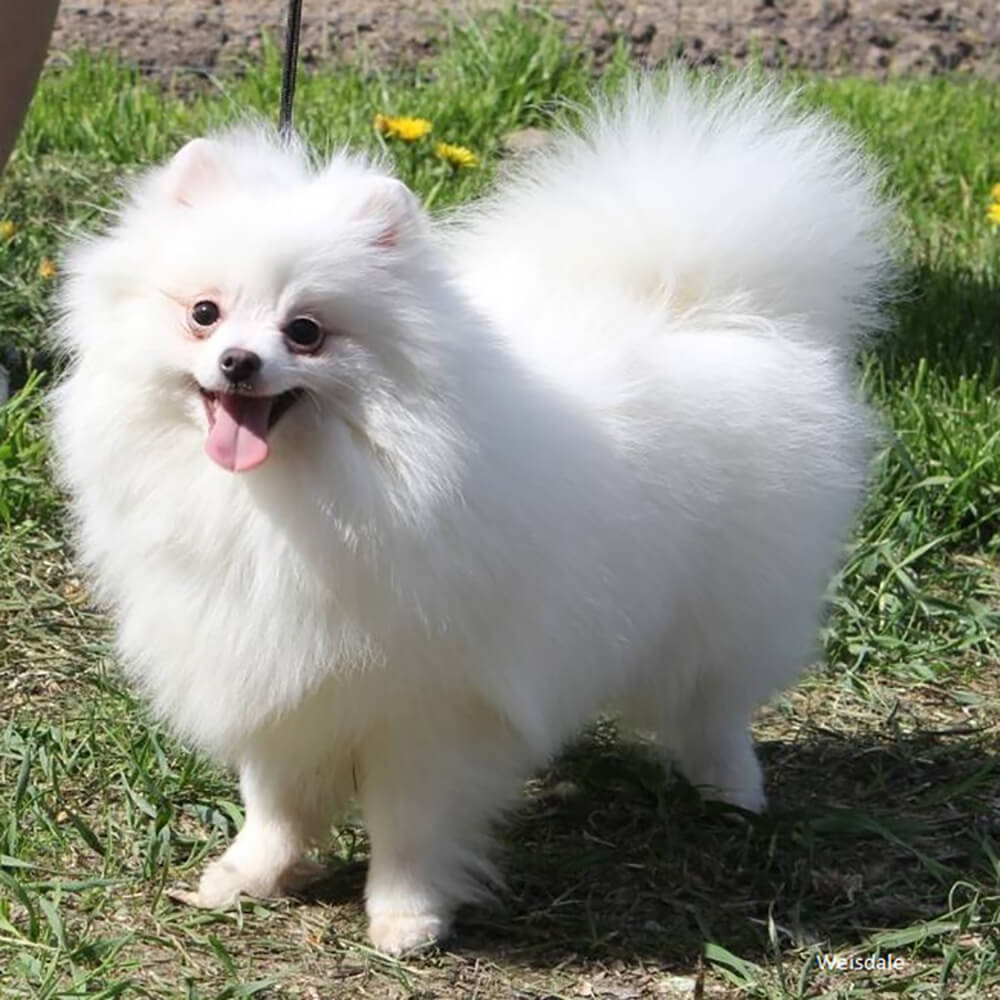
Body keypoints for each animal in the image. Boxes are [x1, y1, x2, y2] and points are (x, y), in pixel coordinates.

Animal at [48, 72, 892, 952]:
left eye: (306, 331)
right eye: (204, 313)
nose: (239, 361)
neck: (301, 496)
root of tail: (696, 301)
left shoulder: (430, 707)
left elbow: (409, 823)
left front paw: (405, 917)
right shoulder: (274, 673)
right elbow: (274, 800)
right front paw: (251, 876)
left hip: (722, 610)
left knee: (715, 705)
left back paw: (732, 792)